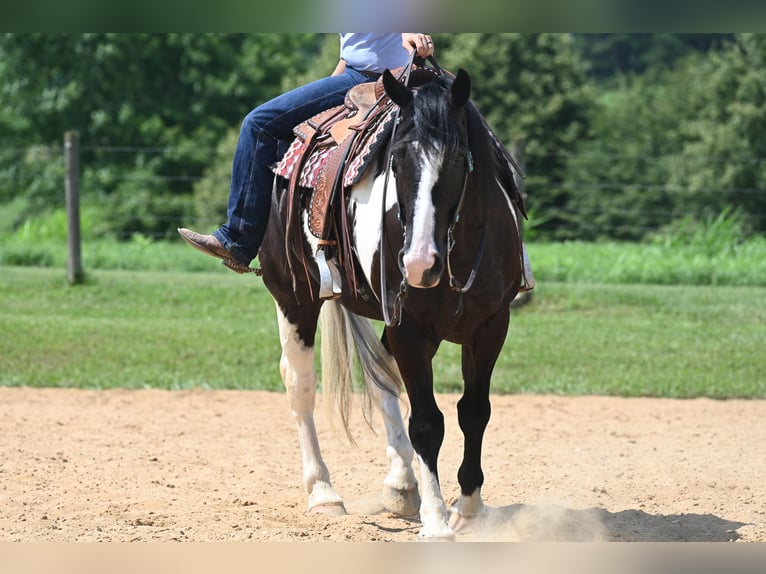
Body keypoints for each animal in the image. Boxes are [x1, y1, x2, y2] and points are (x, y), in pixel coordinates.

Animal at [258, 65, 528, 544]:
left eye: (458, 159)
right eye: (396, 161)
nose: (419, 262)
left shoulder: (491, 326)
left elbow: (474, 411)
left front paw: (469, 507)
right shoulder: (411, 328)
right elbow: (427, 422)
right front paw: (437, 521)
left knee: (382, 377)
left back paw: (402, 486)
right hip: (293, 297)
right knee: (300, 384)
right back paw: (323, 492)